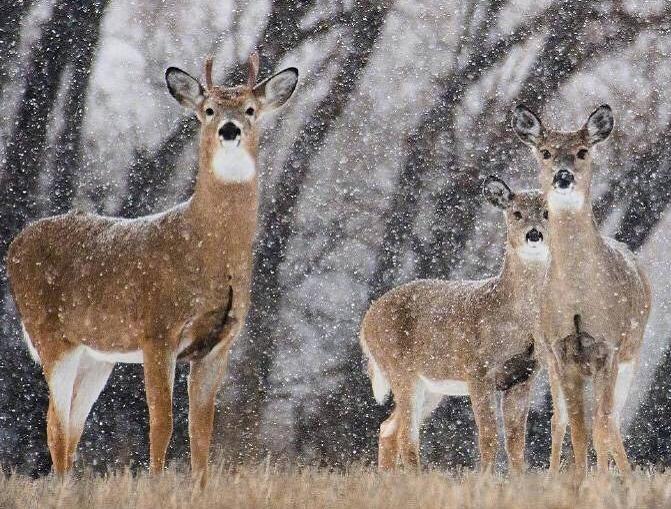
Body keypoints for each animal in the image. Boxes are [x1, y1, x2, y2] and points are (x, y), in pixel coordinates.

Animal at [6, 53, 298, 482]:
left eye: (250, 109)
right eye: (208, 110)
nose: (229, 129)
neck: (208, 251)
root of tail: (16, 243)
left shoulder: (219, 344)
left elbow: (201, 429)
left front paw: (199, 487)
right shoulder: (157, 330)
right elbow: (162, 421)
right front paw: (156, 483)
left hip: (98, 354)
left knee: (71, 425)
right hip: (51, 334)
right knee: (56, 425)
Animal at [364, 179, 548, 472]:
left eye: (547, 213)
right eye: (516, 213)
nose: (534, 234)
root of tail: (366, 321)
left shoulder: (524, 375)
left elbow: (516, 441)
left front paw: (519, 479)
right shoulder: (477, 370)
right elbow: (488, 436)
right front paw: (484, 478)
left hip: (431, 386)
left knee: (388, 428)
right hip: (400, 369)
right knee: (406, 435)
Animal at [512, 103, 652, 476]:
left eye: (583, 151)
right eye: (545, 152)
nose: (563, 176)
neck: (579, 298)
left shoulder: (609, 347)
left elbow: (600, 426)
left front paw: (600, 481)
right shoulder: (563, 352)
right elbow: (577, 428)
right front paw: (578, 480)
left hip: (632, 353)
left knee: (612, 421)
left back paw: (623, 476)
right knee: (564, 420)